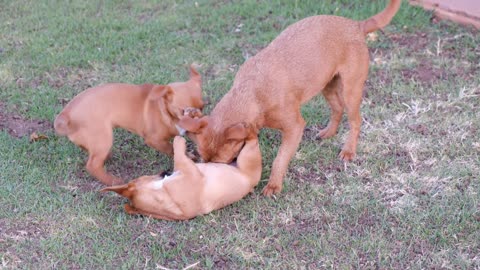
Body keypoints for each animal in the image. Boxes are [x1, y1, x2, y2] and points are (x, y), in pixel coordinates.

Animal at [54, 65, 204, 186]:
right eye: (184, 111)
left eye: (203, 107)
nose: (200, 120)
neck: (165, 111)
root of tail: (66, 115)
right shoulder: (154, 140)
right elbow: (170, 148)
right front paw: (187, 155)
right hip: (103, 137)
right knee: (92, 165)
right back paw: (113, 181)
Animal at [99, 130, 260, 220]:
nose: (165, 171)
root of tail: (252, 184)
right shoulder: (190, 171)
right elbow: (178, 154)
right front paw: (179, 140)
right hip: (248, 155)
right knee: (251, 138)